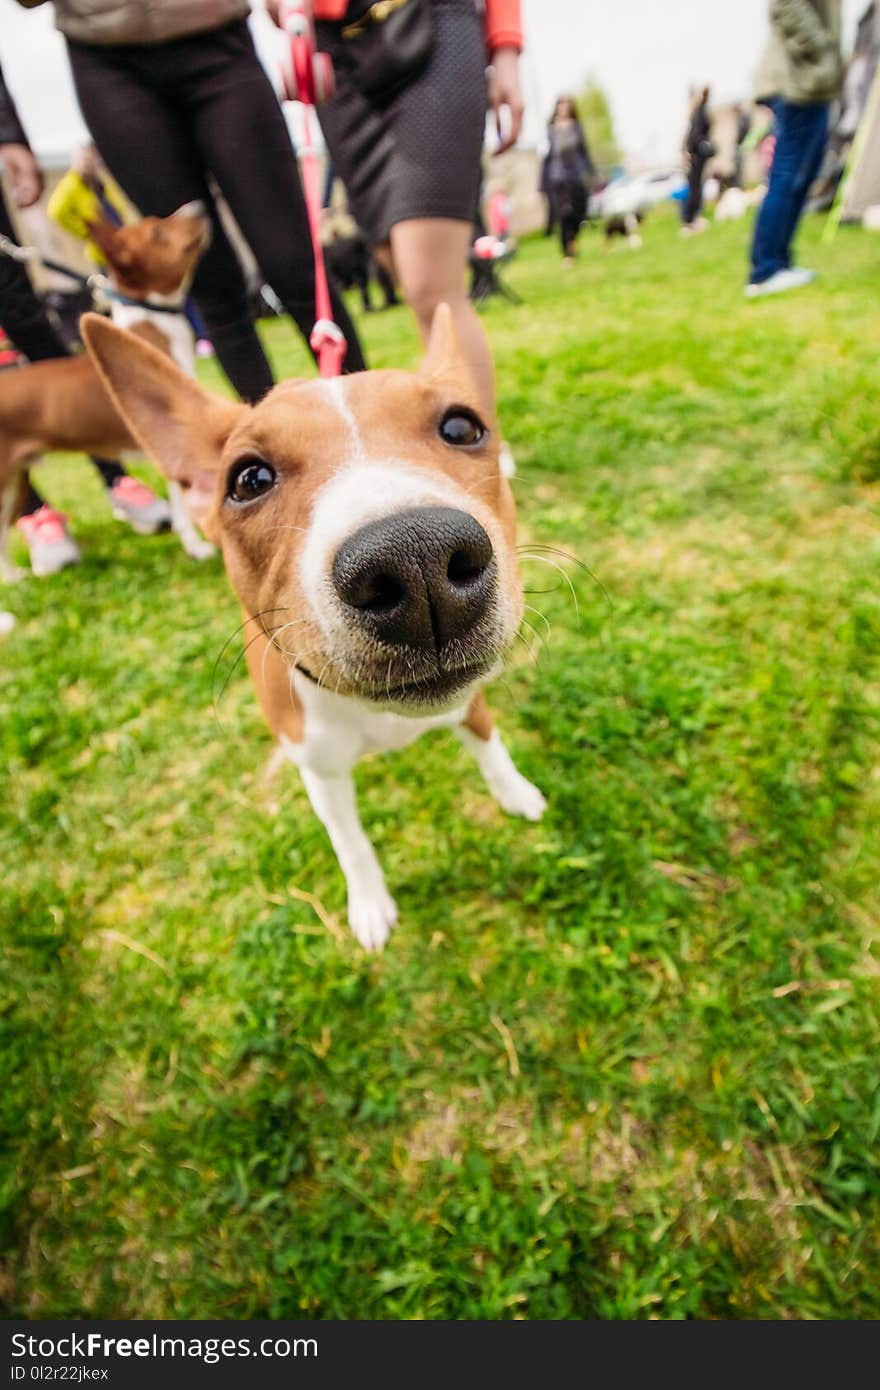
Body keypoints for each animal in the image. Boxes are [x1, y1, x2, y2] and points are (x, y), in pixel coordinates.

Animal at [0, 202, 211, 581]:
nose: (199, 205)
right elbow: (182, 510)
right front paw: (197, 547)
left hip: (15, 480)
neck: (151, 329)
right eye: (157, 232)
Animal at [84, 308, 550, 950]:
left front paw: (516, 793)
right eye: (249, 480)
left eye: (461, 427)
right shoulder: (321, 772)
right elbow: (350, 843)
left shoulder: (470, 703)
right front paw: (370, 903)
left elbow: (491, 747)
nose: (417, 557)